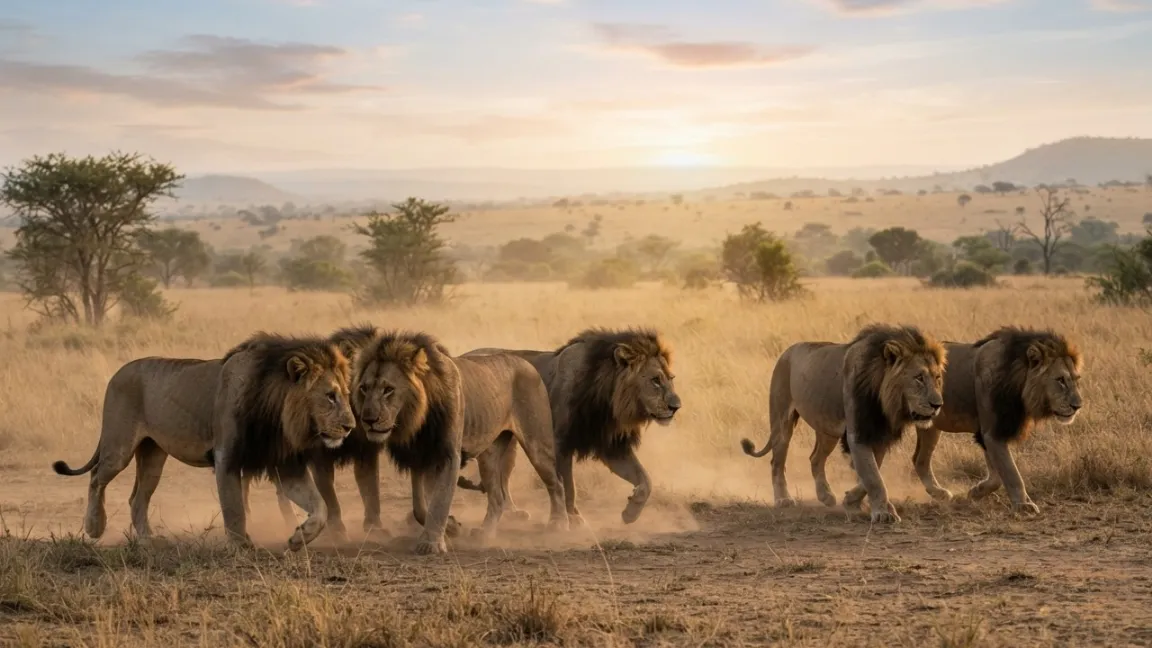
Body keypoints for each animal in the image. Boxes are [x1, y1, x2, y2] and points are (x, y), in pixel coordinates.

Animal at [53, 332, 356, 550]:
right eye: (329, 396)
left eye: (346, 393)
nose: (350, 426)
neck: (276, 414)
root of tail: (118, 373)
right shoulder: (226, 457)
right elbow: (234, 507)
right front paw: (241, 545)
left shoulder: (286, 466)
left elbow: (320, 506)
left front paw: (298, 538)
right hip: (119, 446)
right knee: (96, 477)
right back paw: (95, 526)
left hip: (152, 455)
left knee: (137, 498)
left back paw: (148, 540)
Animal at [352, 330, 568, 554]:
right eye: (364, 388)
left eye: (388, 389)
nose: (368, 419)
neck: (417, 420)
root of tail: (526, 362)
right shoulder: (419, 456)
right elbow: (420, 506)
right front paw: (452, 526)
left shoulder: (448, 455)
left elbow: (440, 500)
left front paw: (431, 543)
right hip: (489, 455)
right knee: (497, 497)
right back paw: (485, 534)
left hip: (537, 445)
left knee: (556, 483)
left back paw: (558, 524)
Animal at [459, 327, 681, 526]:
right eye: (655, 380)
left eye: (671, 379)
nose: (676, 407)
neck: (606, 399)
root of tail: (461, 356)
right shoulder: (559, 443)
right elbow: (567, 484)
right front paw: (571, 517)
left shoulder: (611, 447)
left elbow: (645, 480)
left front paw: (631, 512)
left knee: (502, 477)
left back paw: (512, 512)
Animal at [740, 323, 945, 523]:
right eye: (919, 378)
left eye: (937, 378)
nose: (938, 405)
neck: (885, 401)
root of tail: (786, 352)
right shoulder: (858, 434)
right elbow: (873, 477)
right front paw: (882, 512)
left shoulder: (878, 435)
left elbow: (870, 474)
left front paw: (852, 500)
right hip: (782, 420)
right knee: (777, 461)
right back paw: (783, 499)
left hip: (827, 429)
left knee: (815, 458)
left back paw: (825, 496)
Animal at [845, 326, 1082, 515]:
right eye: (1060, 380)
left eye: (1076, 380)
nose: (1077, 406)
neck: (1018, 379)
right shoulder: (992, 432)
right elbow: (1010, 472)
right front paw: (1024, 505)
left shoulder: (988, 433)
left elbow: (996, 474)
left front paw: (976, 492)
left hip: (931, 426)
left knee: (918, 459)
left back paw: (937, 493)